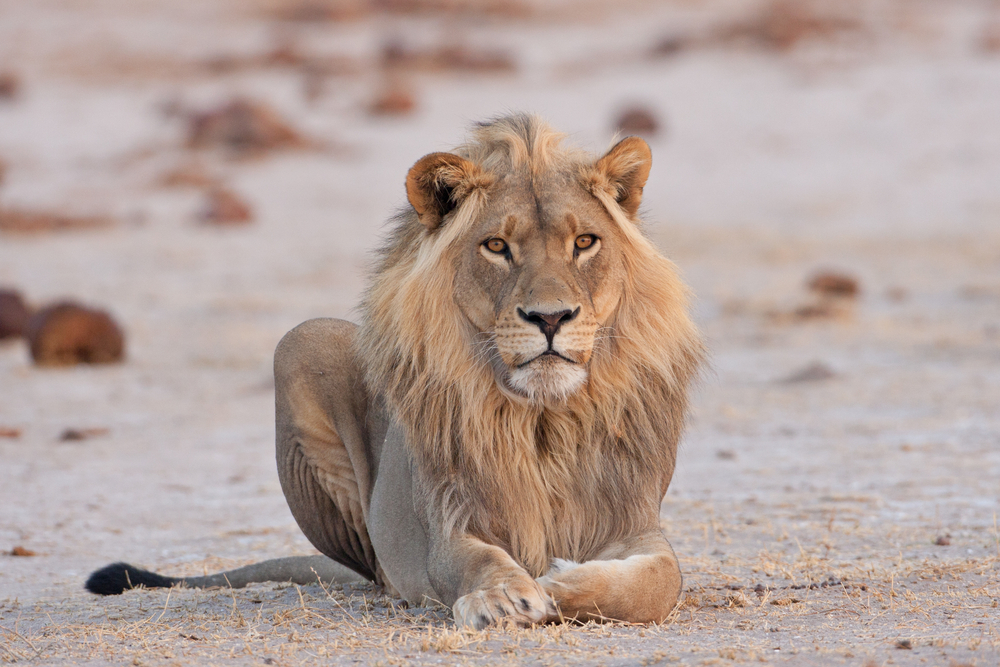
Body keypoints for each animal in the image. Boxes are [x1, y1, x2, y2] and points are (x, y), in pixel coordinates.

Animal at [90, 112, 708, 628]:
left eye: (584, 242)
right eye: (496, 246)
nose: (550, 317)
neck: (543, 420)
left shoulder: (633, 520)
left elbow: (658, 582)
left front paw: (560, 583)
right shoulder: (449, 519)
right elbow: (472, 561)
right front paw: (503, 594)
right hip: (301, 342)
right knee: (379, 569)